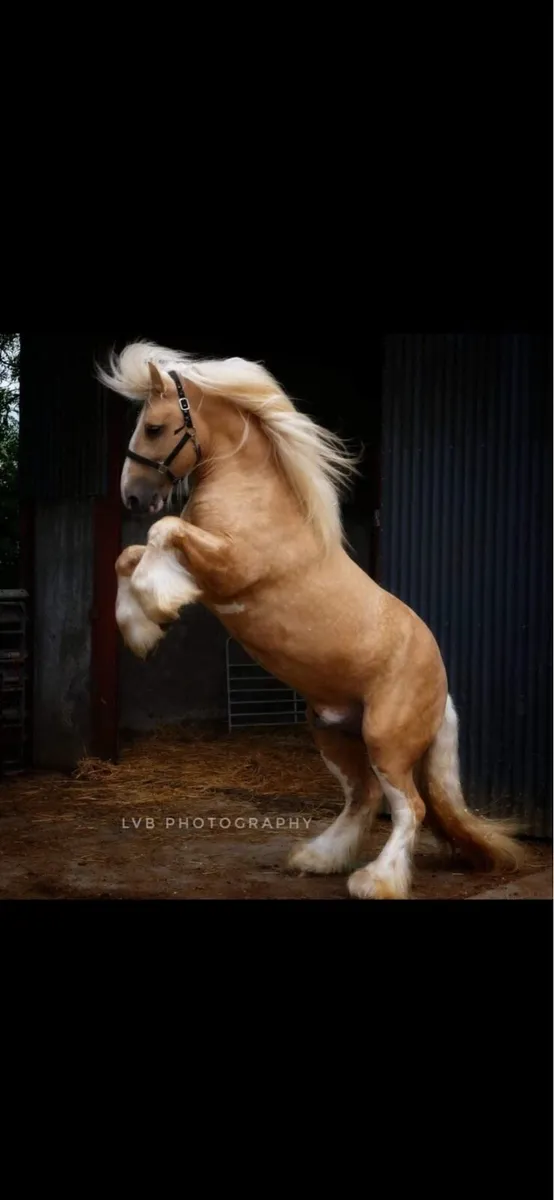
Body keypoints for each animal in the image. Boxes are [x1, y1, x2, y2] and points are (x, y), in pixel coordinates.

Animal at [98, 341, 524, 900]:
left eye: (153, 427)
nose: (131, 496)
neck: (254, 495)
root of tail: (442, 683)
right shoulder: (206, 573)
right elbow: (130, 554)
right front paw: (142, 628)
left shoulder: (229, 569)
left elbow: (160, 531)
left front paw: (156, 608)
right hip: (332, 732)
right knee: (364, 797)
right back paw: (318, 859)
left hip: (387, 738)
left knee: (409, 806)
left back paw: (375, 881)